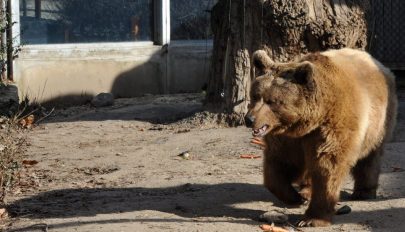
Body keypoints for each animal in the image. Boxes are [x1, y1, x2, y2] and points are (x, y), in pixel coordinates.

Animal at [245, 48, 396, 227]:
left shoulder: (332, 127)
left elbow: (327, 167)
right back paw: (306, 191)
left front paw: (311, 219)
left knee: (370, 158)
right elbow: (280, 165)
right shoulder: (288, 139)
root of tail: (376, 62)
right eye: (255, 95)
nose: (249, 119)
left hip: (378, 123)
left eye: (272, 101)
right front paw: (295, 198)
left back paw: (364, 191)